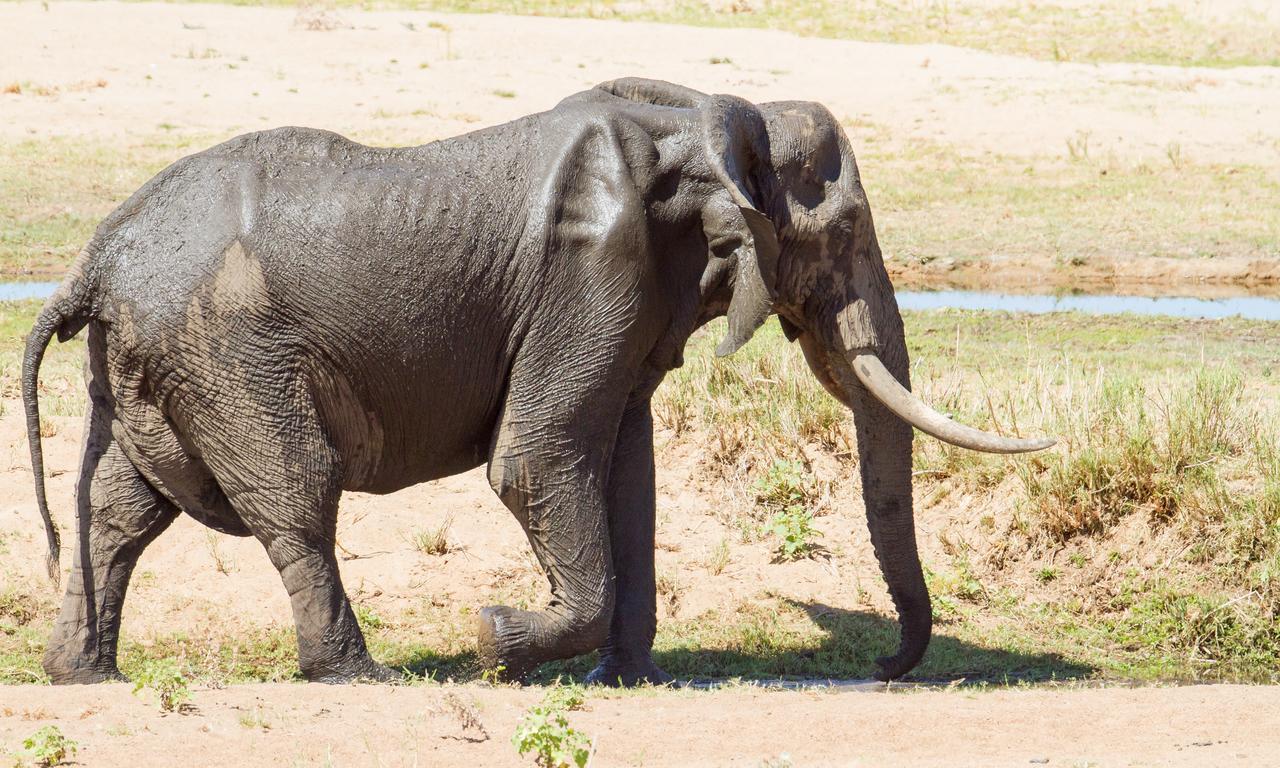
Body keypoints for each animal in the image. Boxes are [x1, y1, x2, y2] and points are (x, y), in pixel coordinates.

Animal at [24, 78, 1054, 686]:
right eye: (842, 233)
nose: (883, 667)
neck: (707, 117)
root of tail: (95, 259)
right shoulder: (591, 270)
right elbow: (538, 460)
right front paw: (495, 639)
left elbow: (628, 478)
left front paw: (628, 679)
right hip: (228, 352)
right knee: (296, 499)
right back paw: (359, 676)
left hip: (149, 361)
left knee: (118, 511)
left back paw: (84, 675)